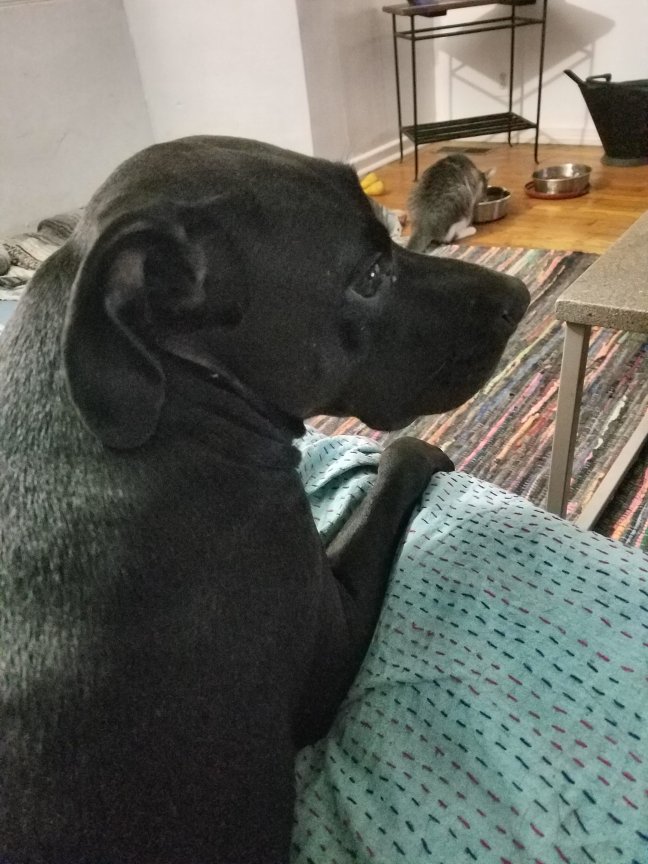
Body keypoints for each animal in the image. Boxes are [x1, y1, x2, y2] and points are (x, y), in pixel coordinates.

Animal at [0, 136, 529, 862]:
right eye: (370, 276)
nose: (522, 295)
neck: (179, 390)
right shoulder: (334, 643)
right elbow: (390, 474)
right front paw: (420, 453)